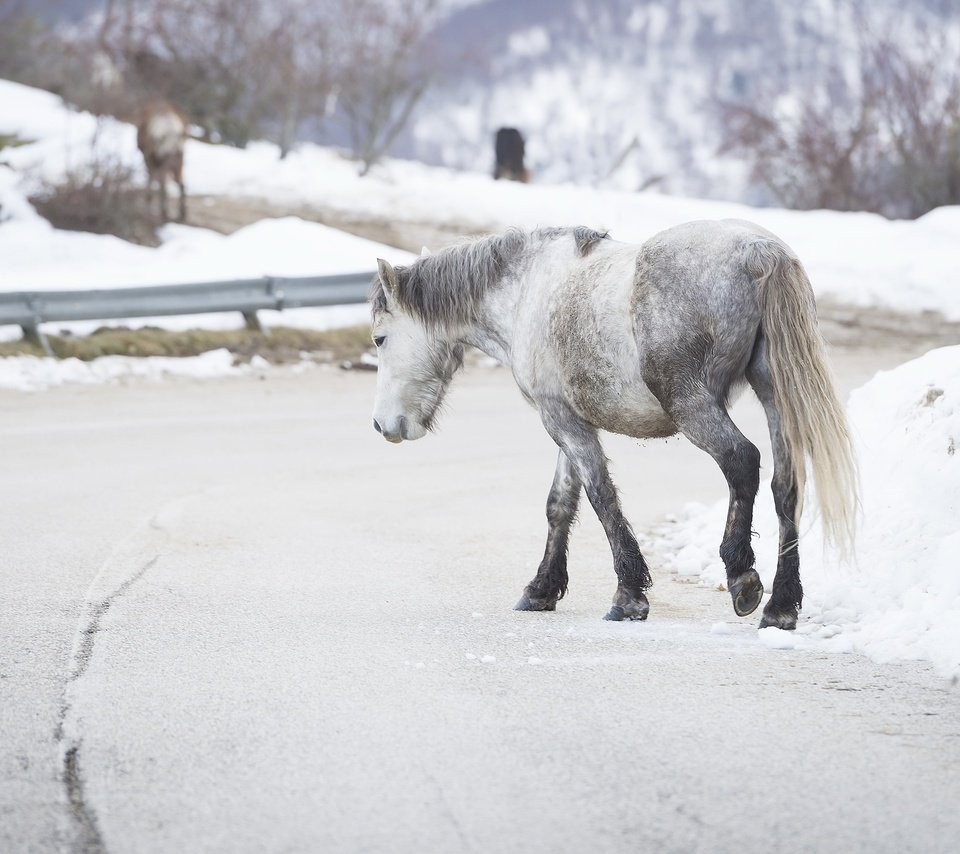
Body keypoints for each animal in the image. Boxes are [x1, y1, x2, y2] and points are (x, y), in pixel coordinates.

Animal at [372, 222, 860, 628]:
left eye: (379, 338)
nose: (381, 425)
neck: (526, 290)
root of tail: (758, 251)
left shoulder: (561, 421)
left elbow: (601, 497)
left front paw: (628, 596)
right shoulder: (569, 420)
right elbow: (560, 504)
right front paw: (542, 589)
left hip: (693, 405)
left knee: (742, 461)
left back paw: (741, 575)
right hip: (773, 393)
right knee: (786, 484)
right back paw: (781, 605)